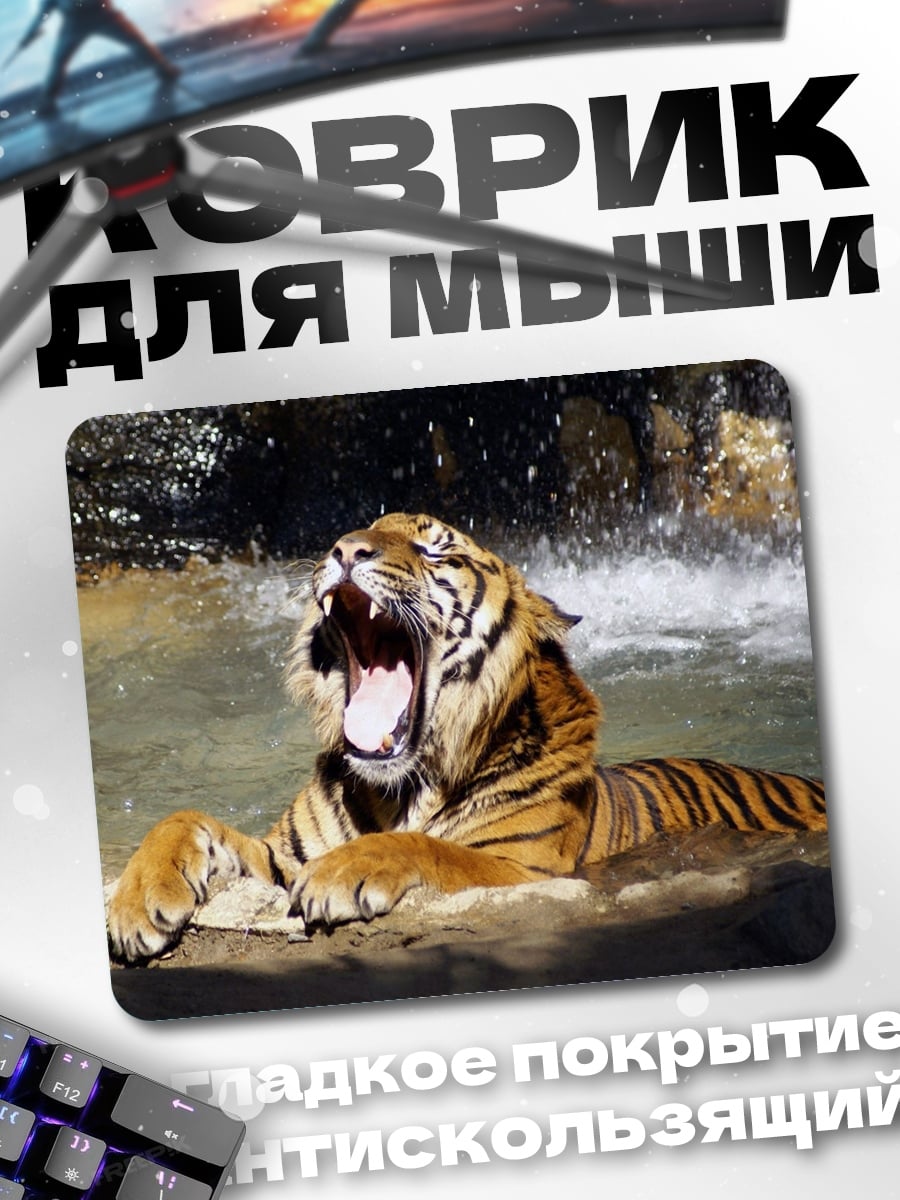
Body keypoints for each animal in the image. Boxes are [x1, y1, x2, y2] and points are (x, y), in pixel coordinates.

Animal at [106, 512, 826, 962]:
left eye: (435, 549)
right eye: (363, 529)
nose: (345, 549)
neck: (399, 787)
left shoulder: (525, 869)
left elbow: (429, 847)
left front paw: (343, 874)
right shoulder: (279, 855)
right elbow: (181, 819)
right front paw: (138, 905)